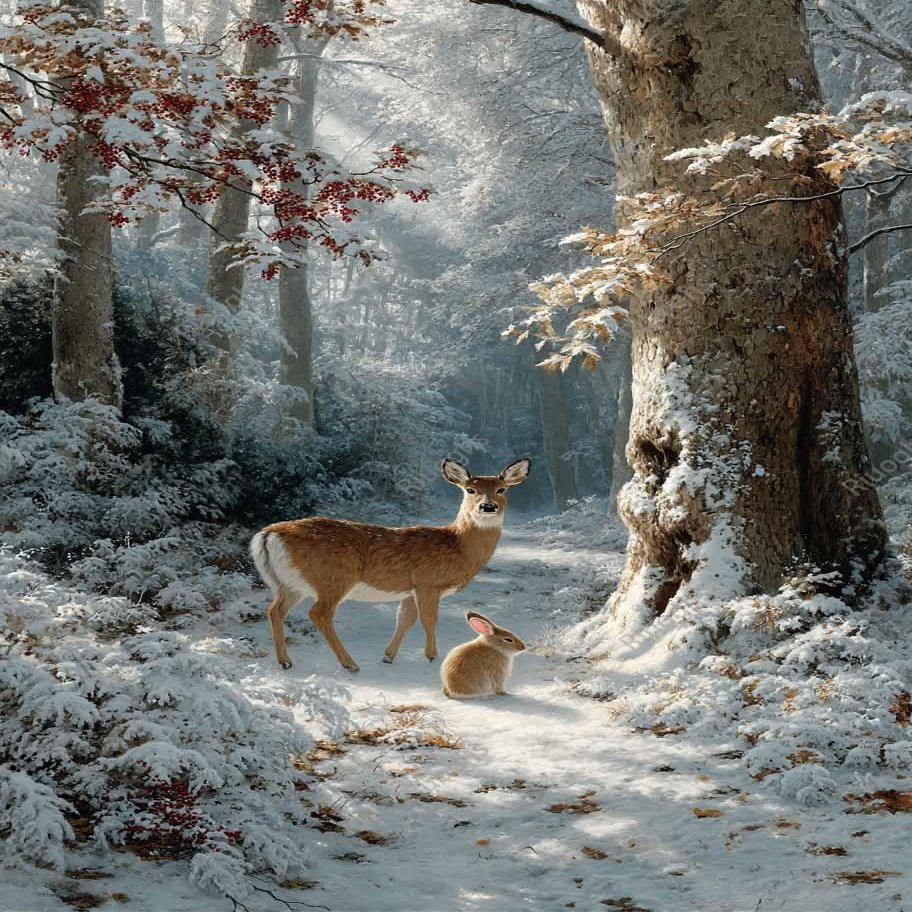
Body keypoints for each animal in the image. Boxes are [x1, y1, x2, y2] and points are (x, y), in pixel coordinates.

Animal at [249, 457, 531, 672]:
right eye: (470, 490)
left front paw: (388, 656)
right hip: (332, 577)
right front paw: (432, 656)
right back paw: (349, 664)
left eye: (502, 489)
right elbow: (429, 619)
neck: (458, 546)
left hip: (290, 584)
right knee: (319, 614)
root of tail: (268, 535)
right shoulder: (428, 583)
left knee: (275, 610)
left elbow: (405, 619)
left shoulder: (409, 589)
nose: (488, 506)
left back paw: (285, 662)